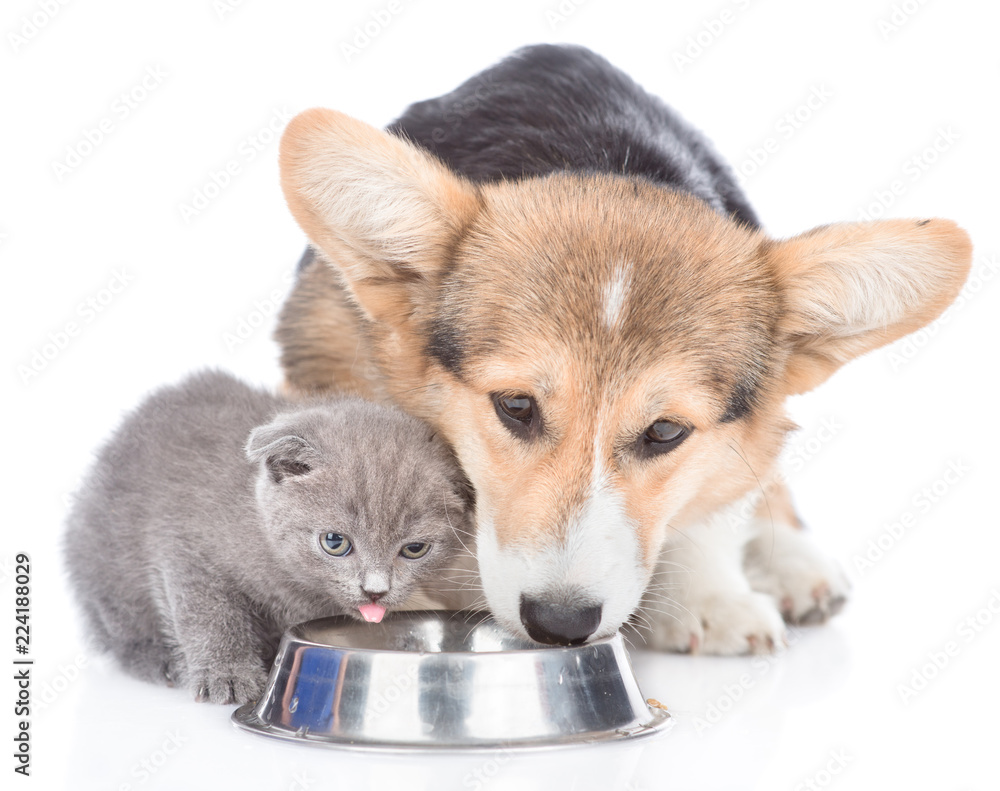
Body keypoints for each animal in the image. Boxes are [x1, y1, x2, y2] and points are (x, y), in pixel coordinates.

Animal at [65, 372, 472, 704]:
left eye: (414, 549)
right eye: (335, 542)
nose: (375, 591)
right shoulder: (187, 549)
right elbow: (209, 616)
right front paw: (227, 675)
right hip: (107, 564)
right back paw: (155, 658)